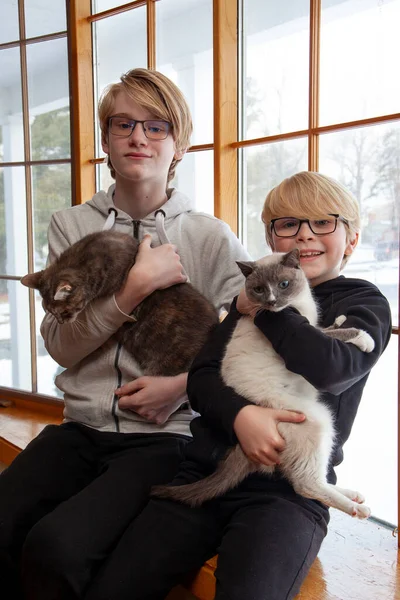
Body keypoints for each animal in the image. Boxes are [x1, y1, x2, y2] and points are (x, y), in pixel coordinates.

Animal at [154, 248, 376, 516]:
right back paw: (357, 509)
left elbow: (329, 326)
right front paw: (365, 339)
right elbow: (334, 334)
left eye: (283, 284)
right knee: (306, 484)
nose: (271, 302)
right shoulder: (308, 332)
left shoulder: (311, 323)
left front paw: (342, 318)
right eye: (259, 289)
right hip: (318, 421)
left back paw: (353, 496)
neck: (295, 305)